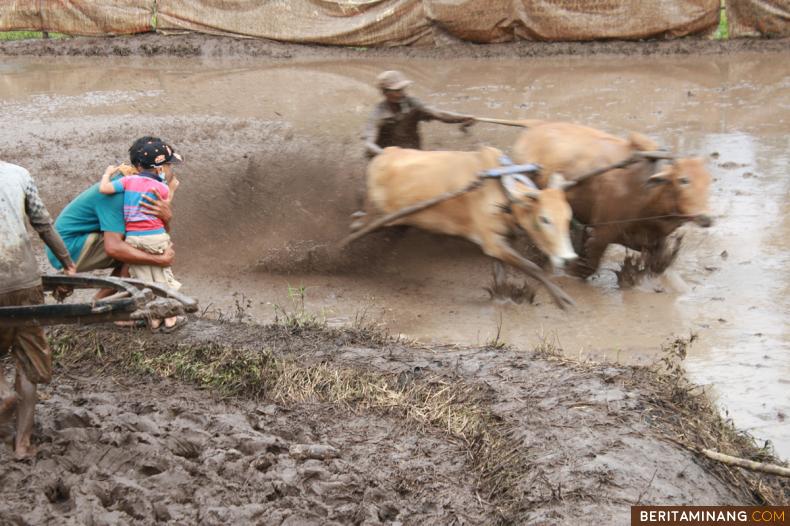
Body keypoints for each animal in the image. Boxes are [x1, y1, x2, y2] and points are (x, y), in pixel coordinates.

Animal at [358, 145, 576, 310]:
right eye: (544, 219)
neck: (503, 194)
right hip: (376, 215)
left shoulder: (497, 241)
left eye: (568, 217)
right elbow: (532, 267)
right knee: (356, 226)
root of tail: (384, 154)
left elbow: (501, 275)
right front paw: (562, 298)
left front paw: (504, 297)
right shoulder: (492, 243)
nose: (569, 257)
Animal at [512, 120, 716, 280]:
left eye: (709, 180)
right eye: (683, 180)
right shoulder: (603, 233)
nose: (706, 218)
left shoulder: (653, 242)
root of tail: (534, 128)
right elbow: (587, 267)